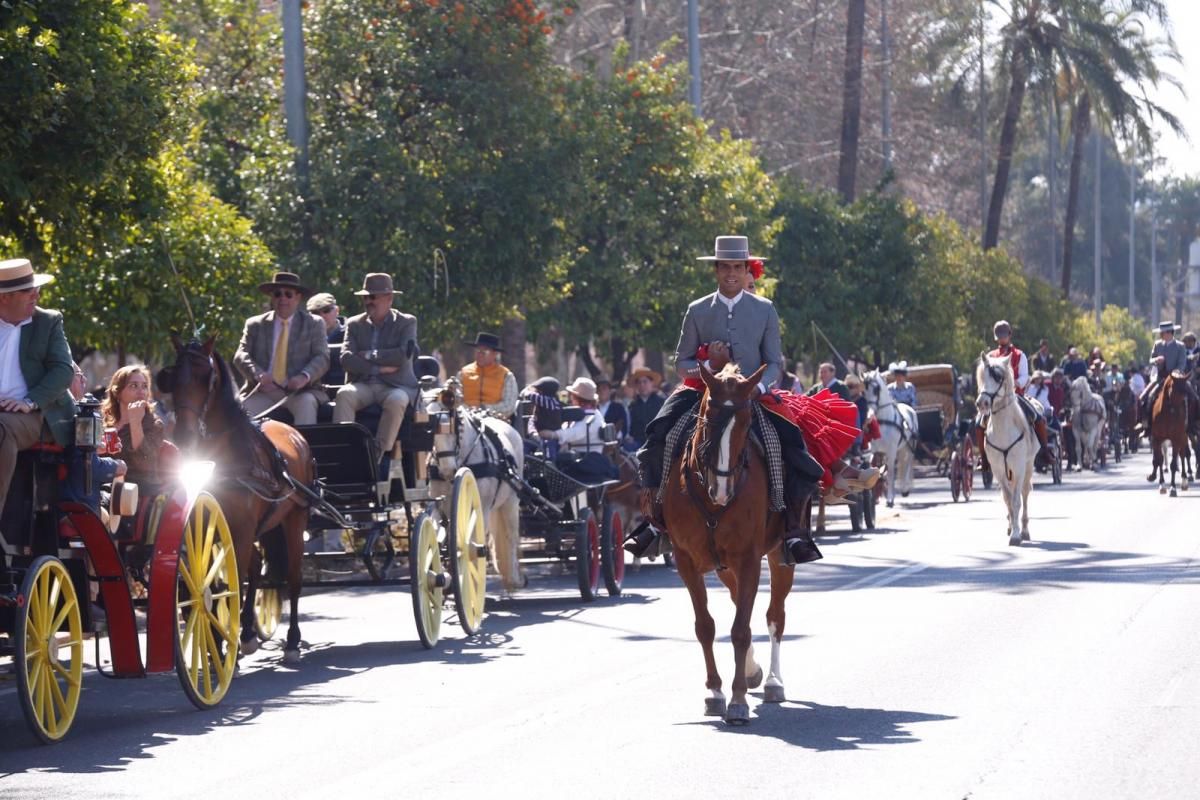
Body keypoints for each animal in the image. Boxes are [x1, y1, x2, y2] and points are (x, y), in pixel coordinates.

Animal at [164, 335, 316, 662]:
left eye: (205, 377)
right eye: (173, 376)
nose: (183, 434)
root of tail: (294, 433)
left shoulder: (243, 528)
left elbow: (236, 580)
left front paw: (224, 643)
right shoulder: (207, 522)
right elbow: (216, 580)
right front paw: (217, 645)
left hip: (294, 517)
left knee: (293, 577)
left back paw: (291, 640)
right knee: (256, 568)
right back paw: (246, 633)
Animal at [427, 381, 530, 594]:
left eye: (452, 425)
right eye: (427, 431)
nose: (447, 469)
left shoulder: (480, 507)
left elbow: (472, 543)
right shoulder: (441, 506)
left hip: (509, 501)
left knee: (510, 536)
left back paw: (513, 578)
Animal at [662, 362, 801, 724]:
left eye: (748, 421)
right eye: (707, 417)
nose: (721, 490)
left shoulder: (750, 557)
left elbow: (740, 629)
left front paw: (737, 700)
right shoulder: (686, 560)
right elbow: (706, 627)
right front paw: (715, 692)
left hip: (779, 555)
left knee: (774, 615)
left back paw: (773, 681)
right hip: (723, 565)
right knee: (742, 602)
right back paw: (753, 672)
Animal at [864, 374, 916, 510]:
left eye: (876, 389)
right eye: (865, 389)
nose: (869, 415)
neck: (884, 421)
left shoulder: (891, 451)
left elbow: (891, 474)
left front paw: (890, 500)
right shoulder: (875, 450)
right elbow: (875, 469)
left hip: (910, 445)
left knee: (907, 463)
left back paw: (905, 488)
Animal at [974, 352, 1041, 546]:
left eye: (998, 377)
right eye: (982, 377)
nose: (982, 403)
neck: (1004, 429)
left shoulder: (1018, 468)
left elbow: (1017, 501)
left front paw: (1018, 535)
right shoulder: (998, 470)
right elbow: (1008, 500)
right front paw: (1012, 530)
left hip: (1028, 466)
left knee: (1024, 493)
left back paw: (1024, 530)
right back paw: (1012, 525)